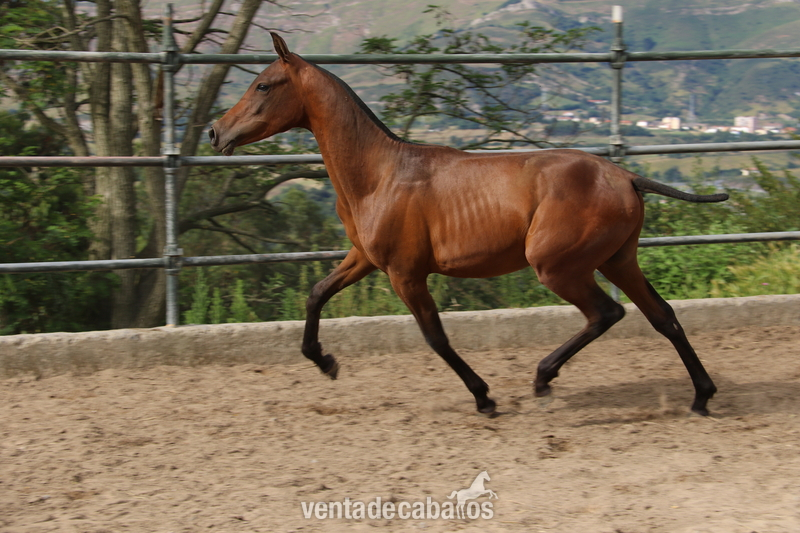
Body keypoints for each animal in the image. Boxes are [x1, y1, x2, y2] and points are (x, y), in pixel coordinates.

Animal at [209, 33, 728, 416]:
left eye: (263, 85)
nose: (216, 132)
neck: (378, 176)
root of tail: (626, 177)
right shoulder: (365, 259)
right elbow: (316, 293)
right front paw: (325, 362)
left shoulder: (405, 273)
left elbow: (435, 337)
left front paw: (484, 397)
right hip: (618, 260)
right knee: (662, 316)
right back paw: (701, 396)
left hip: (558, 266)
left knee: (607, 313)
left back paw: (543, 378)